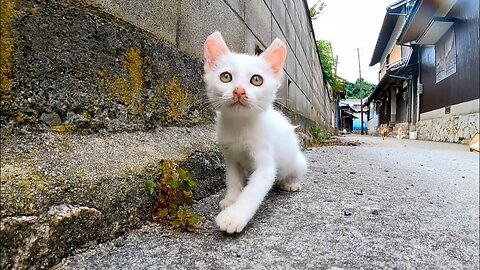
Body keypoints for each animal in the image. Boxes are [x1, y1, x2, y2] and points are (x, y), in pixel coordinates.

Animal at [202, 32, 308, 234]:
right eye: (225, 77)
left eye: (256, 80)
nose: (239, 91)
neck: (240, 125)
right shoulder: (230, 156)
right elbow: (233, 179)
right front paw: (231, 200)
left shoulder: (265, 161)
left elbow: (252, 191)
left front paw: (233, 217)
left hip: (297, 161)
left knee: (295, 171)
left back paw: (289, 183)